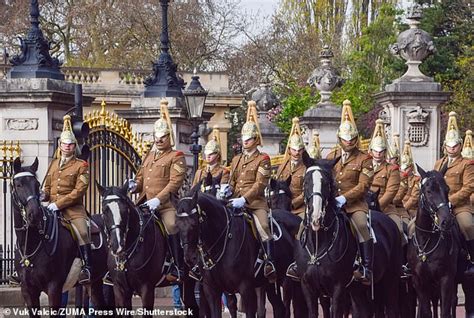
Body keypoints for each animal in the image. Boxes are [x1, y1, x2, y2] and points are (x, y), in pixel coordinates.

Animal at [11, 158, 108, 316]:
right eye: (18, 185)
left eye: (37, 185)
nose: (35, 214)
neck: (32, 243)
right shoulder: (28, 290)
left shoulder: (54, 288)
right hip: (94, 282)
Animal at [298, 157, 402, 318]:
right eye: (306, 181)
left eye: (327, 183)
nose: (316, 217)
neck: (318, 242)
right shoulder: (308, 287)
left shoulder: (338, 288)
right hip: (358, 290)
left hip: (390, 281)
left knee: (390, 309)